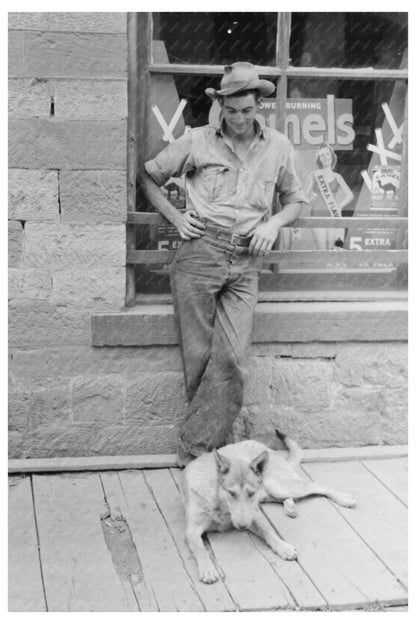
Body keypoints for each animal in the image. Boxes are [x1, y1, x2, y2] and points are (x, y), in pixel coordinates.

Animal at [180, 432, 356, 584]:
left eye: (250, 493)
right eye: (231, 493)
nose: (242, 526)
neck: (219, 501)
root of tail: (265, 447)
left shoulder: (254, 515)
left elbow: (268, 531)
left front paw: (283, 547)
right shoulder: (192, 531)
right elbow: (201, 549)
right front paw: (207, 568)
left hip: (276, 485)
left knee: (316, 485)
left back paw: (343, 498)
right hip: (270, 492)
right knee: (290, 497)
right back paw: (290, 507)